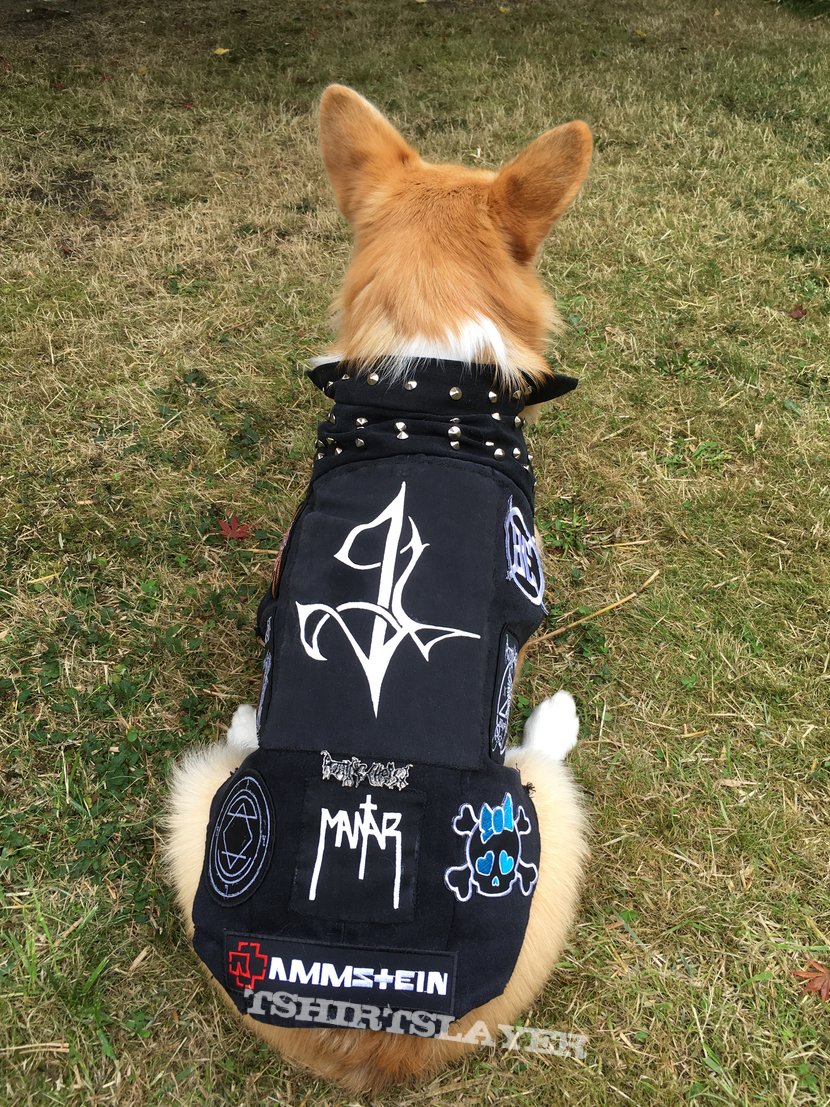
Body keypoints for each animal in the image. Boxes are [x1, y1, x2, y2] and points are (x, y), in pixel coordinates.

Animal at [163, 84, 593, 1089]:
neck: (429, 378)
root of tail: (363, 1027)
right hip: (540, 827)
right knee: (548, 763)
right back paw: (552, 721)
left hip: (194, 808)